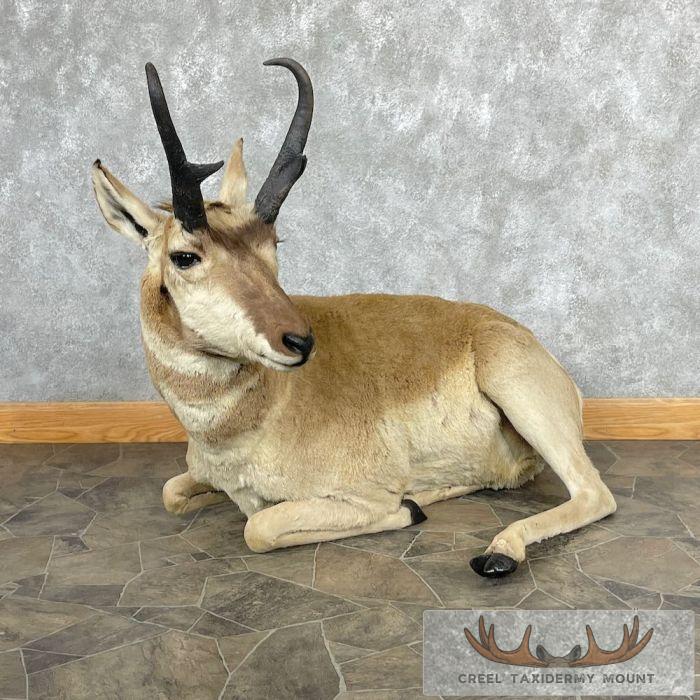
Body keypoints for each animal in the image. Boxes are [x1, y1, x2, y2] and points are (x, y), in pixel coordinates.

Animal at [91, 58, 616, 578]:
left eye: (273, 244)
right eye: (184, 256)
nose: (299, 341)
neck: (257, 414)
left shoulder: (353, 495)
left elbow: (259, 526)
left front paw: (408, 507)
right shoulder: (200, 479)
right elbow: (172, 492)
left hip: (517, 391)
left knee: (593, 494)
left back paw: (497, 549)